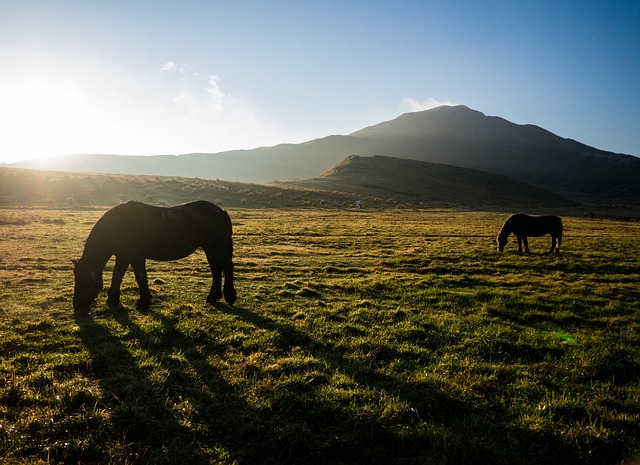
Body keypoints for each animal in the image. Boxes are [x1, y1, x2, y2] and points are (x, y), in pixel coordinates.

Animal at [72, 199, 236, 312]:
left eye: (84, 280)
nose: (77, 307)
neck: (118, 226)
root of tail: (221, 212)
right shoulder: (123, 255)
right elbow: (117, 275)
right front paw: (113, 300)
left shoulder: (135, 256)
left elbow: (139, 276)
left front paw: (143, 302)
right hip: (211, 250)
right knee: (216, 270)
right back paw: (213, 296)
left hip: (217, 249)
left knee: (227, 268)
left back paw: (230, 296)